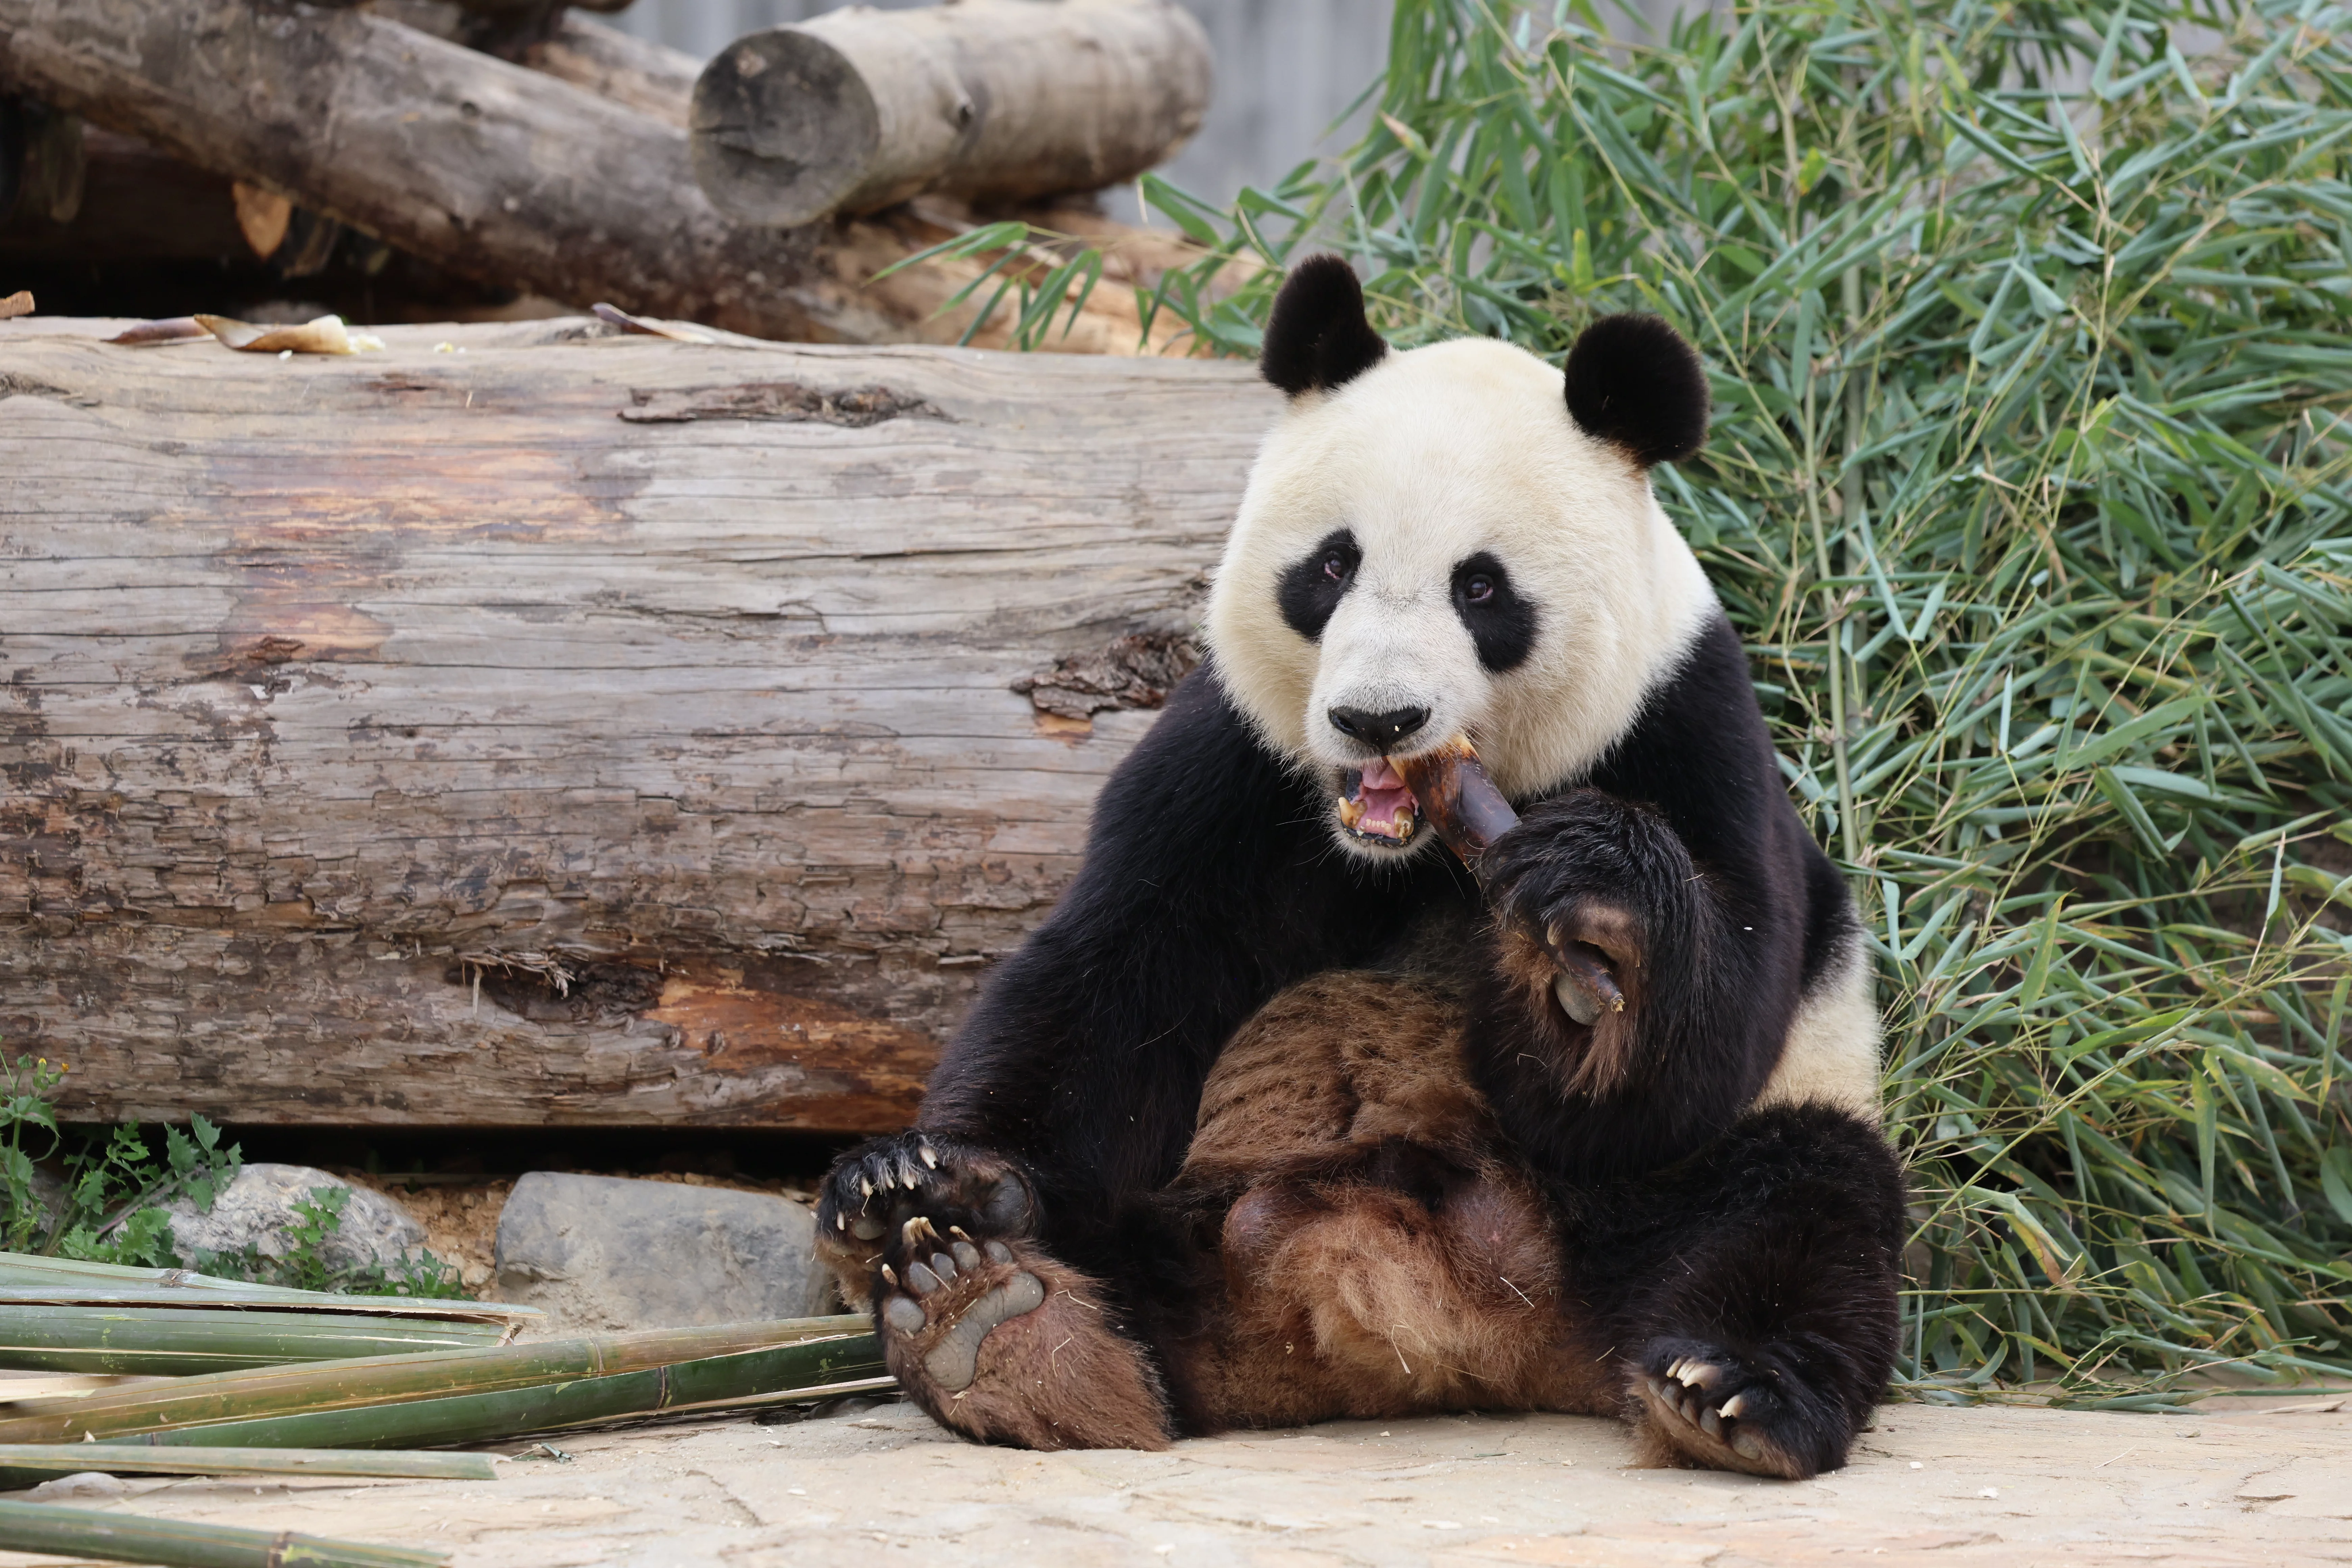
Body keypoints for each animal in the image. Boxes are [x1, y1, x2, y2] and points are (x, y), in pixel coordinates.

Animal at [812, 255, 1908, 1480]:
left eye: (1483, 590)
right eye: (1331, 567)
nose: (1379, 718)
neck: (1417, 846)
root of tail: (1452, 1330)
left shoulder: (1686, 725)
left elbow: (1695, 1057)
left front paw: (1593, 934)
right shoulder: (1240, 761)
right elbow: (1110, 982)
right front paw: (921, 1176)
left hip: (1706, 1175)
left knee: (1798, 1209)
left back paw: (1734, 1395)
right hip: (1208, 1189)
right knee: (1101, 1247)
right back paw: (996, 1322)